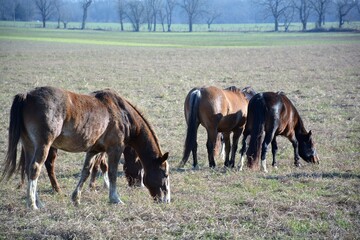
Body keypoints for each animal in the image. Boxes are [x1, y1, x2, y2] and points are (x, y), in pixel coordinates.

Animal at [2, 86, 170, 210]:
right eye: (165, 174)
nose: (166, 200)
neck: (122, 112)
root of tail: (27, 96)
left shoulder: (94, 150)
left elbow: (86, 172)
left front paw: (76, 198)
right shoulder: (115, 149)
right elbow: (112, 173)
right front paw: (115, 198)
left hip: (29, 145)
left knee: (28, 169)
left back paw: (38, 202)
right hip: (44, 145)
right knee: (35, 168)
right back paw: (32, 204)